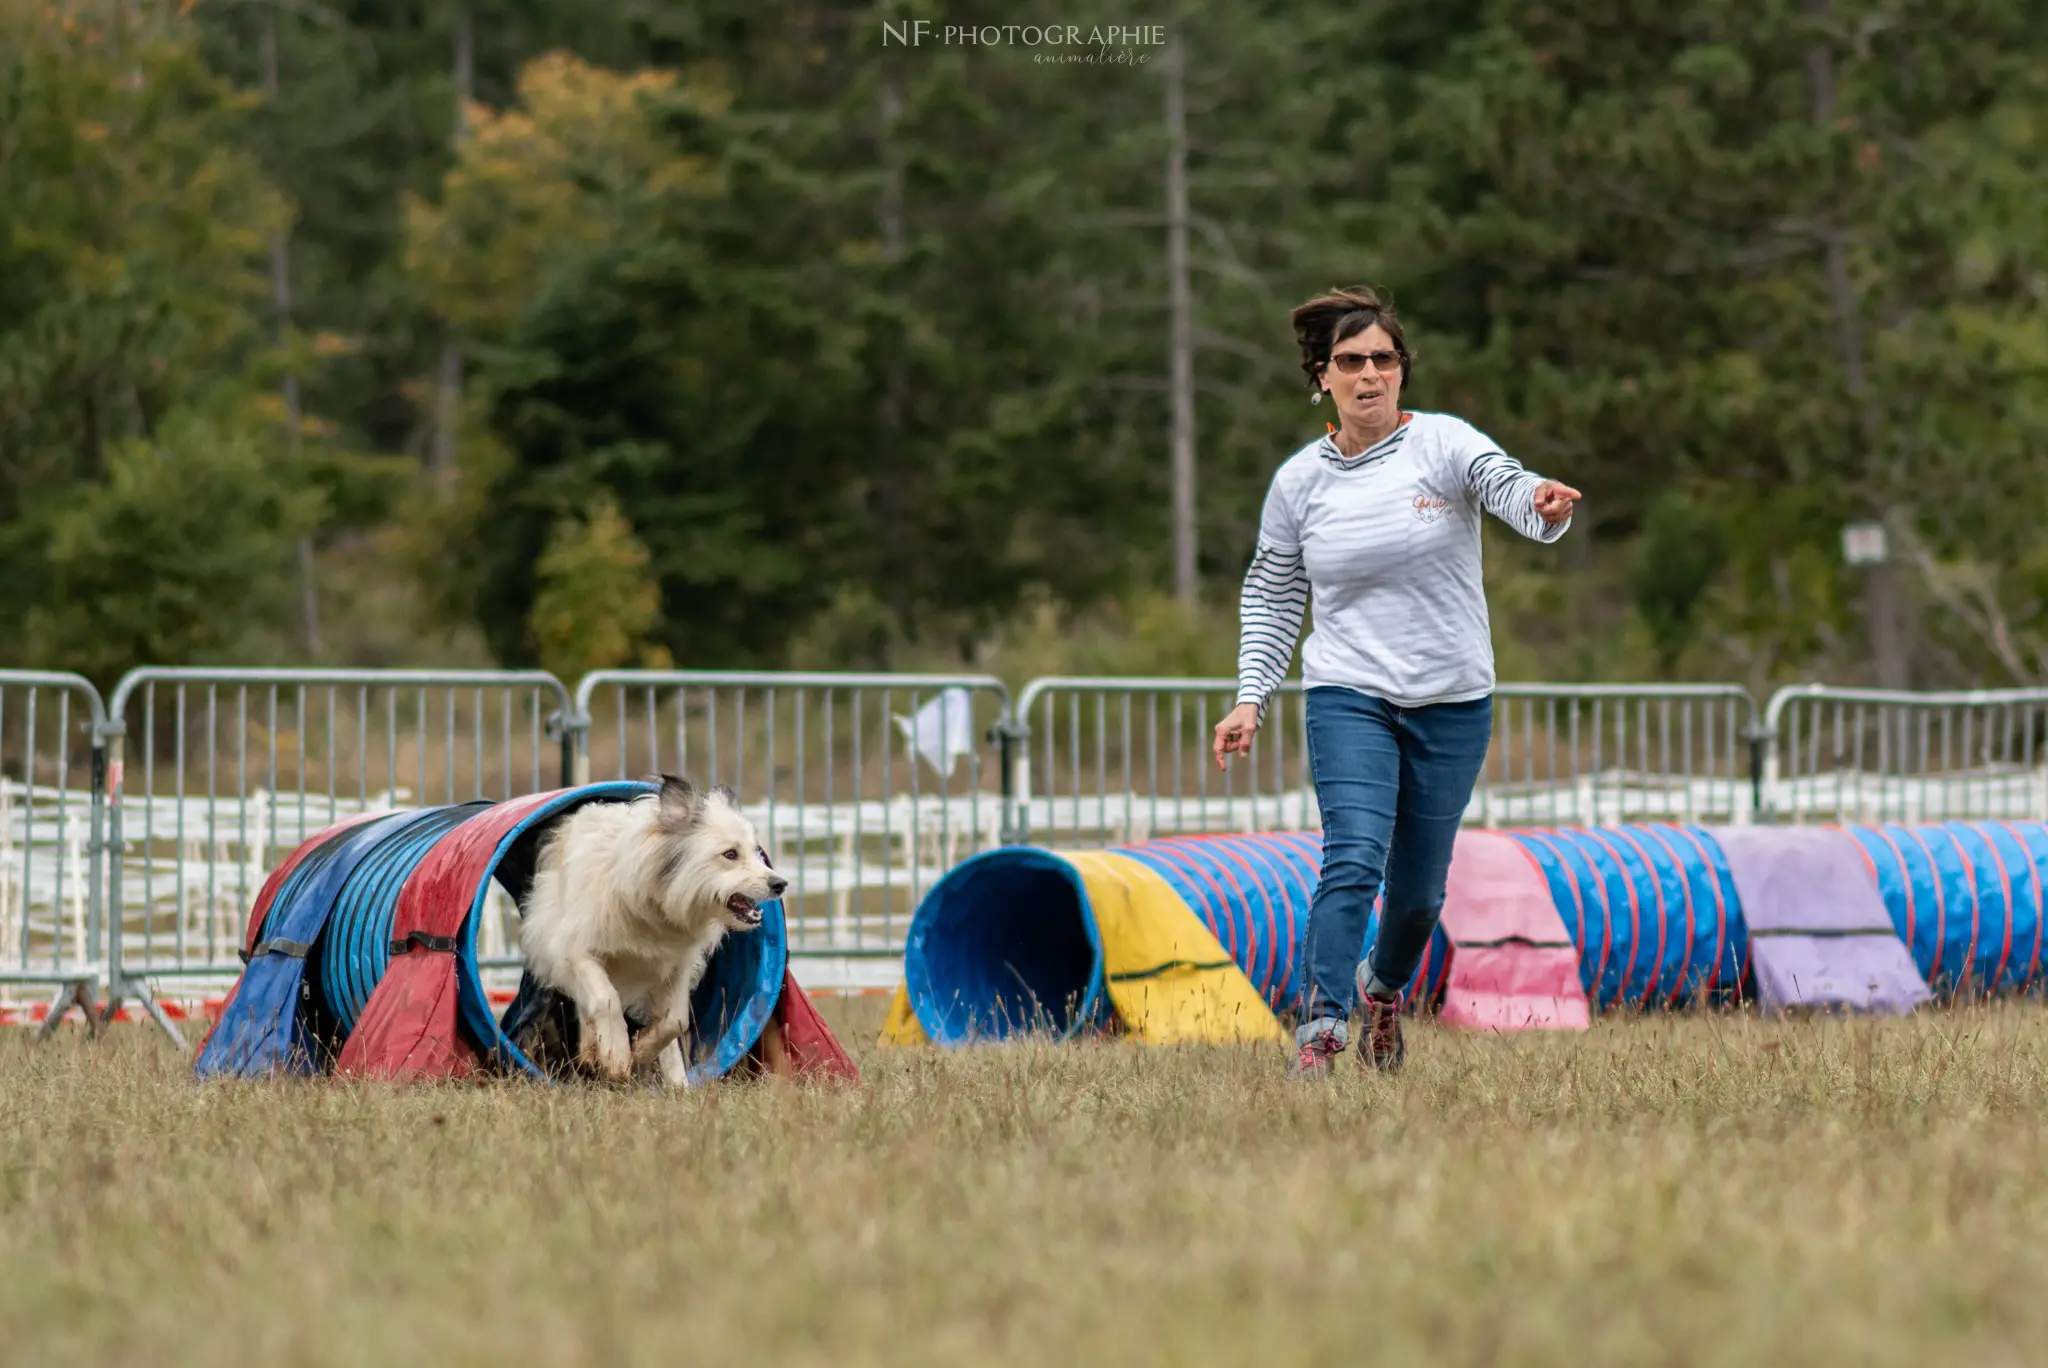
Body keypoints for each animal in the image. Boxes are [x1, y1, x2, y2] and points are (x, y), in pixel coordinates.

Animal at [520, 778, 782, 1089]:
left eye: (757, 851)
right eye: (730, 854)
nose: (781, 884)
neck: (657, 903)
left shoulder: (676, 965)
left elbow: (675, 1021)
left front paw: (643, 1049)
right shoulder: (575, 951)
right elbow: (605, 999)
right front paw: (617, 1055)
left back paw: (677, 1083)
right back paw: (593, 1050)